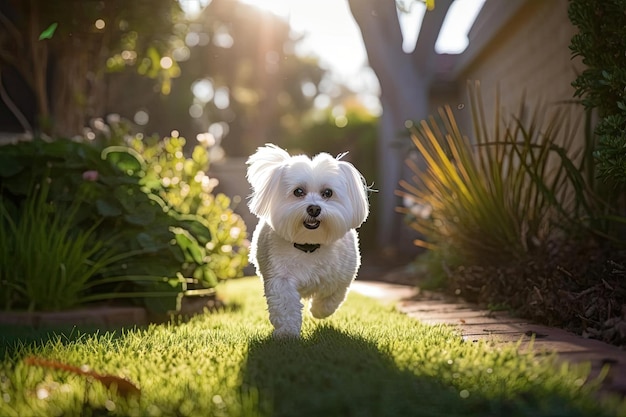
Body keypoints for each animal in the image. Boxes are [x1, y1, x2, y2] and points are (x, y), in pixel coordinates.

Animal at [246, 145, 368, 336]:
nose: (314, 209)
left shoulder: (342, 276)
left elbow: (332, 295)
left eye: (327, 193)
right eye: (298, 192)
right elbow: (285, 304)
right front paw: (287, 332)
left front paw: (318, 311)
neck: (309, 245)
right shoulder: (280, 278)